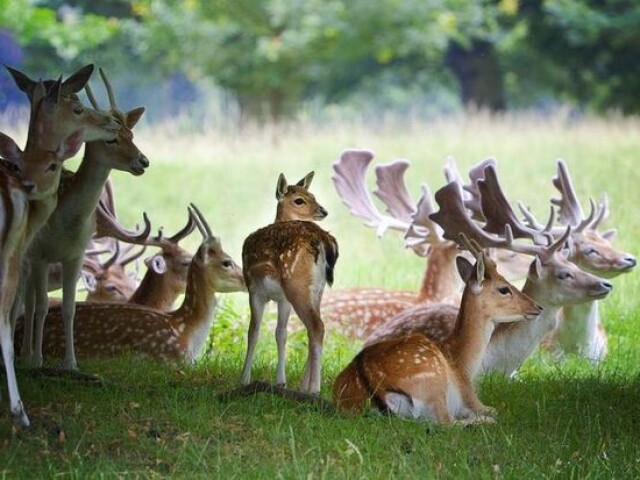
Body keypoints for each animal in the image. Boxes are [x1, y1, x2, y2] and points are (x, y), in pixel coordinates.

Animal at [19, 67, 150, 370]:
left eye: (132, 134)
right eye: (112, 139)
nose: (143, 161)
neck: (67, 223)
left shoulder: (76, 255)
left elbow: (69, 308)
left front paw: (70, 363)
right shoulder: (40, 253)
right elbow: (43, 304)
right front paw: (39, 359)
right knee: (25, 299)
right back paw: (28, 355)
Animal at [240, 172, 340, 394]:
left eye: (312, 195)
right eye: (300, 199)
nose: (324, 211)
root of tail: (323, 240)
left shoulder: (254, 290)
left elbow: (253, 331)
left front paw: (244, 378)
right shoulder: (282, 298)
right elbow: (280, 333)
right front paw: (281, 381)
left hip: (296, 285)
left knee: (316, 326)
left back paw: (314, 388)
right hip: (316, 290)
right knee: (315, 328)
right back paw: (305, 385)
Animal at [332, 234, 544, 422]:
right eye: (504, 289)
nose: (537, 307)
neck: (464, 365)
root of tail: (371, 382)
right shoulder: (470, 396)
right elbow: (493, 409)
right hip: (433, 385)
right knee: (446, 422)